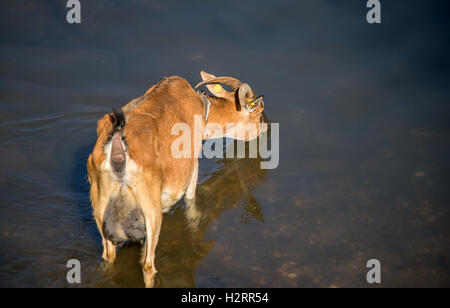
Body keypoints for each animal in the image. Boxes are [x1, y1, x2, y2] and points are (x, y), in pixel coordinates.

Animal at [87, 71, 268, 288]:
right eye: (259, 112)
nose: (266, 127)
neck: (202, 112)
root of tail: (116, 149)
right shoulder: (193, 165)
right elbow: (191, 202)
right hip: (151, 209)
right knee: (148, 264)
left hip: (99, 203)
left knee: (108, 254)